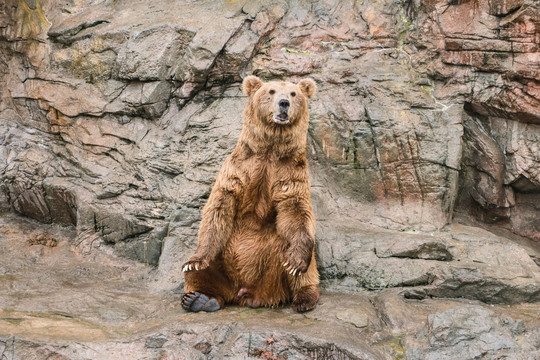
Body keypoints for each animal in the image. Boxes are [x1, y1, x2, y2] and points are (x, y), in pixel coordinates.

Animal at [181, 76, 318, 312]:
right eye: (271, 91)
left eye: (293, 93)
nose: (284, 103)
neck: (270, 150)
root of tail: (247, 292)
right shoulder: (239, 170)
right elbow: (218, 209)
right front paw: (195, 261)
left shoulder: (289, 175)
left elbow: (296, 212)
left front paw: (295, 262)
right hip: (223, 257)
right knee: (203, 271)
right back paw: (199, 298)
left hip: (273, 263)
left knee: (293, 250)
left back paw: (304, 298)